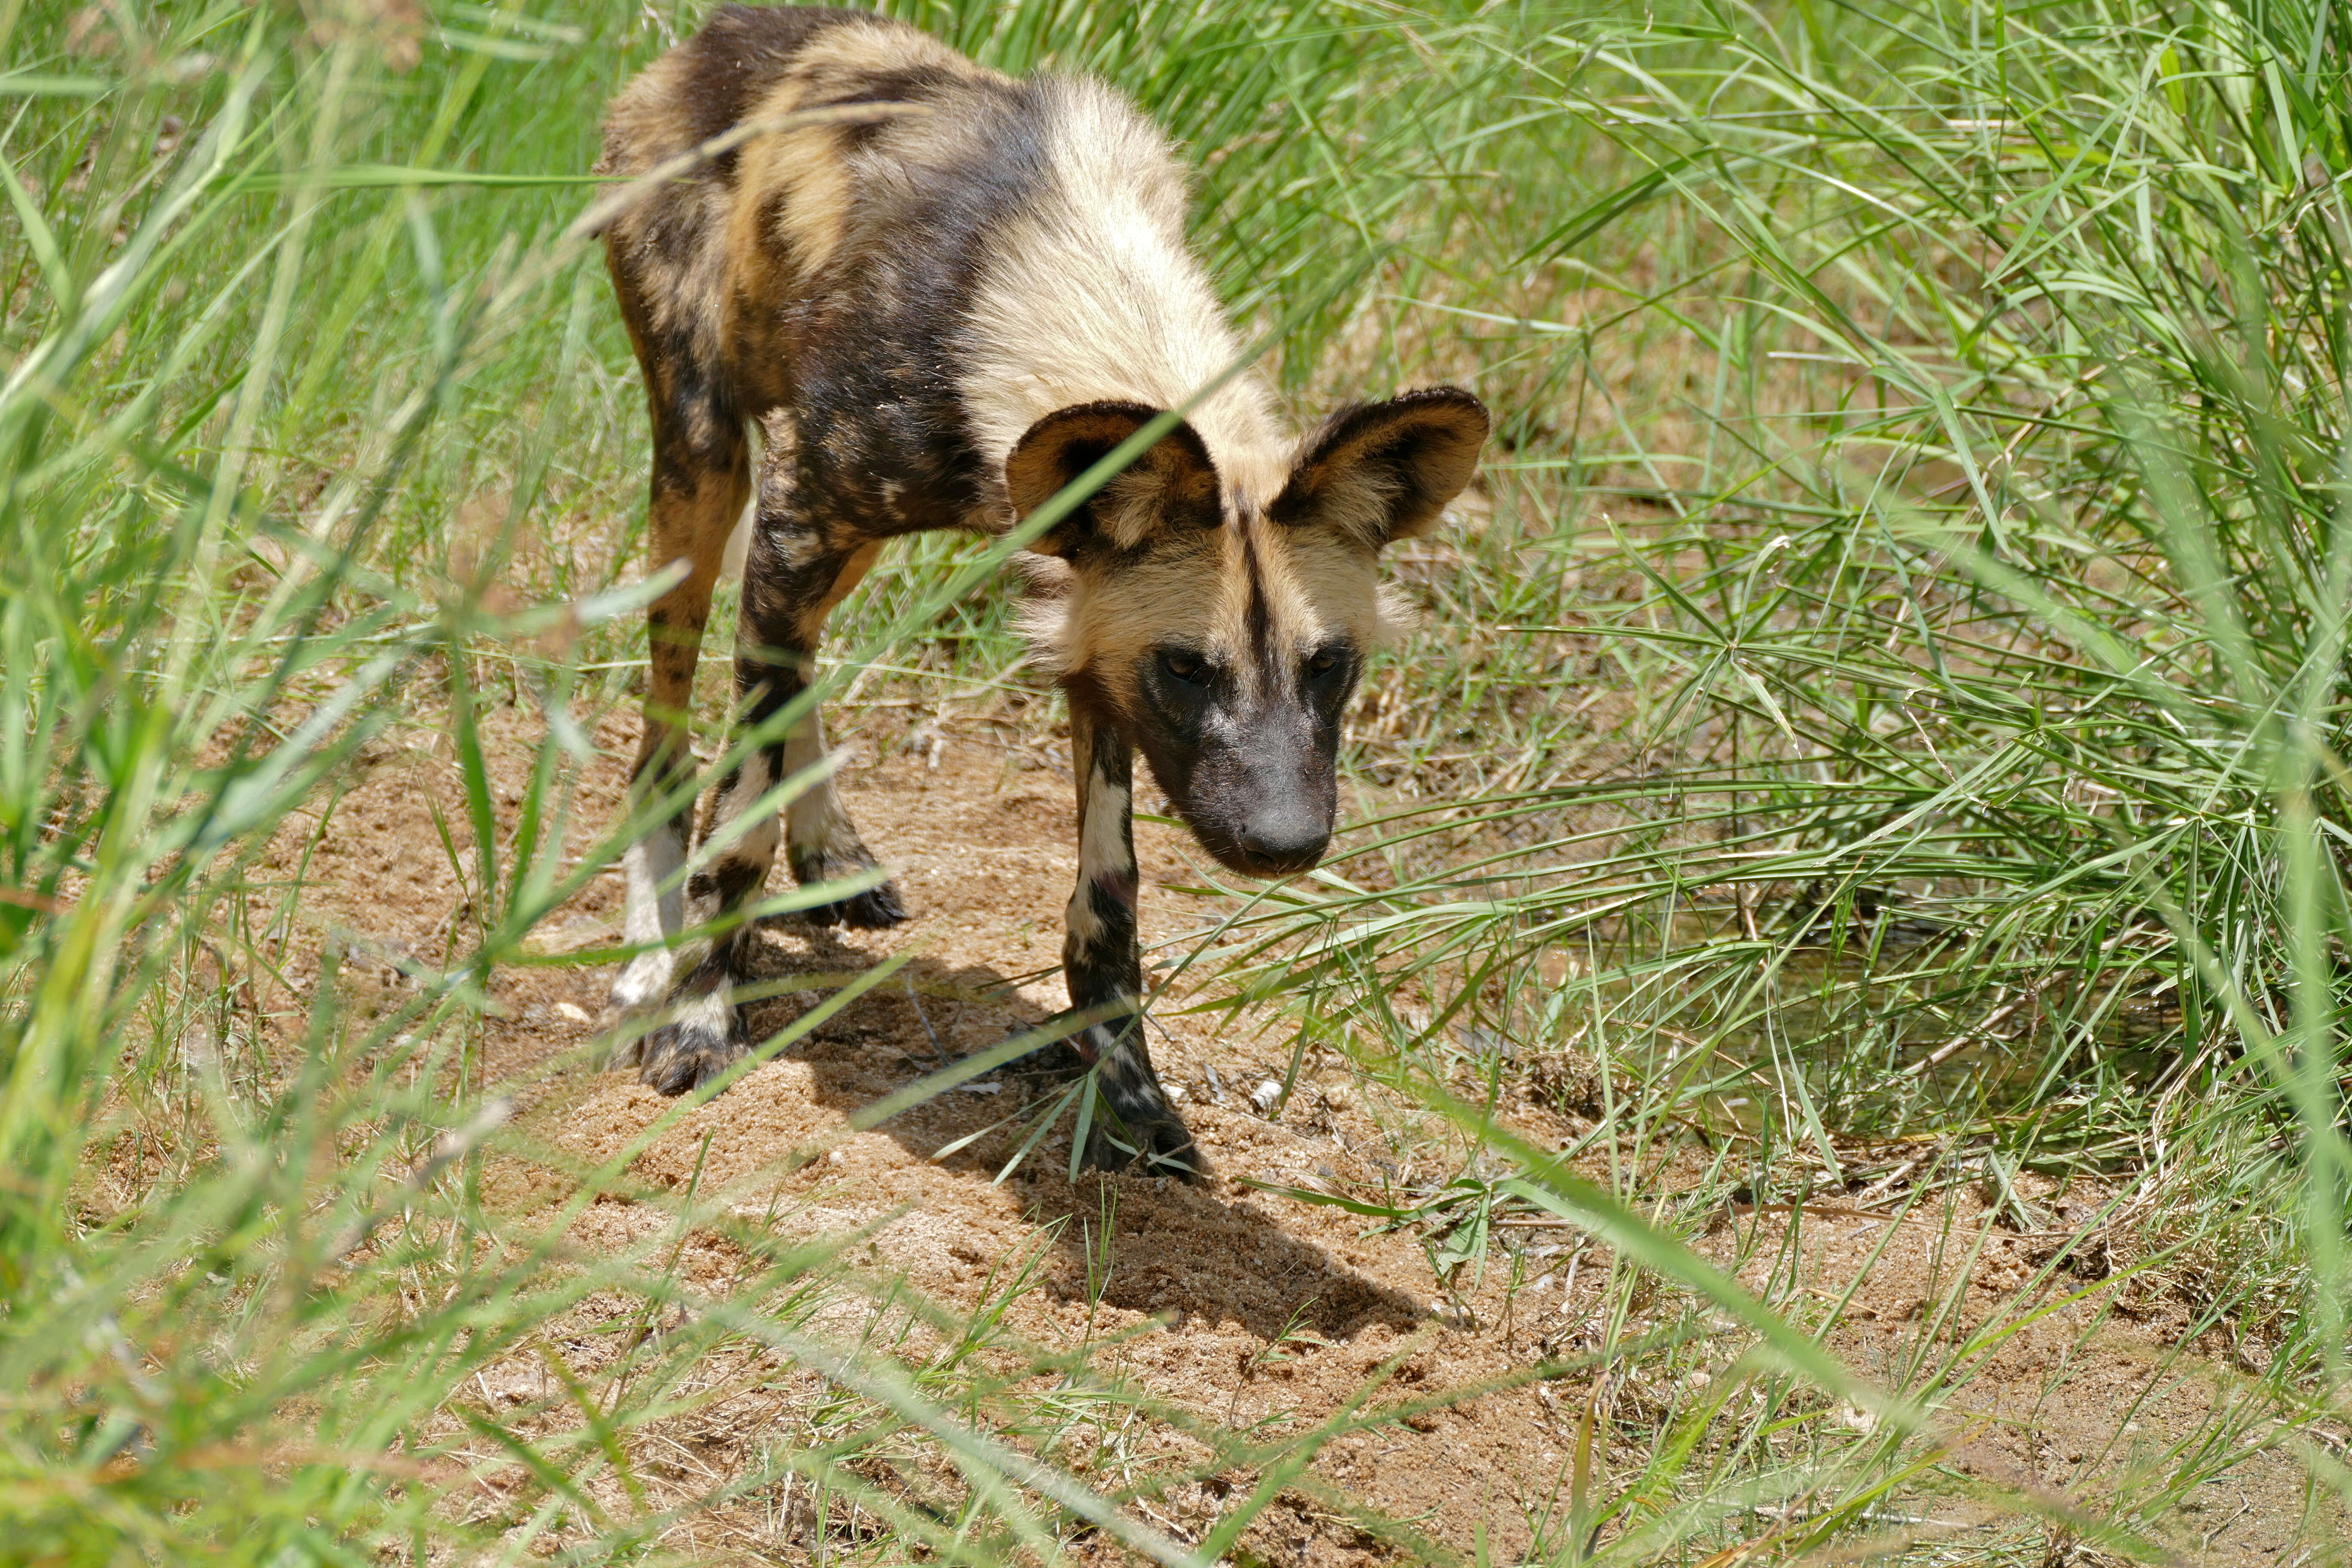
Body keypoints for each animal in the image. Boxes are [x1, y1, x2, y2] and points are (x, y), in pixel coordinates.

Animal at [602, 6, 1486, 1170]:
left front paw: (1131, 1097)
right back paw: (651, 958)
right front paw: (700, 1021)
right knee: (667, 739)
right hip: (706, 470)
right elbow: (736, 825)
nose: (1287, 844)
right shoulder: (804, 519)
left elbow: (1107, 905)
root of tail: (717, 35)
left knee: (789, 677)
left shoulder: (1086, 633)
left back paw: (829, 845)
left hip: (812, 540)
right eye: (1188, 670)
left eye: (1329, 666)